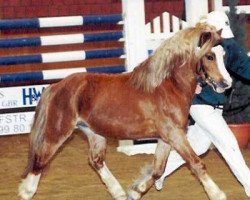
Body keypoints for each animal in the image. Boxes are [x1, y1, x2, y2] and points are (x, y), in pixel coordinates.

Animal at [18, 23, 231, 200]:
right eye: (209, 56)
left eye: (223, 55)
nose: (226, 83)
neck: (168, 87)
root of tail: (56, 86)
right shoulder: (175, 135)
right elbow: (196, 163)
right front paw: (218, 194)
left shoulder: (166, 138)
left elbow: (158, 170)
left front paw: (135, 192)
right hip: (58, 132)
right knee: (40, 161)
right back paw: (26, 191)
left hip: (94, 133)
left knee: (95, 161)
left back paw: (118, 192)